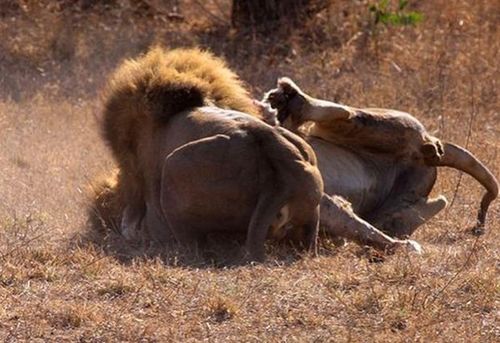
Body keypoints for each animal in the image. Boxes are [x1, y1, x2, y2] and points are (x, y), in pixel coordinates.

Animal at [262, 78, 496, 239]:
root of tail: (427, 147)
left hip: (389, 125)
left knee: (347, 113)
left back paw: (287, 102)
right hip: (398, 201)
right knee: (409, 215)